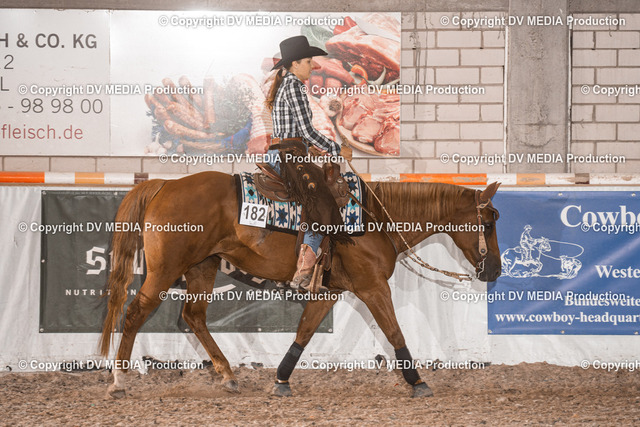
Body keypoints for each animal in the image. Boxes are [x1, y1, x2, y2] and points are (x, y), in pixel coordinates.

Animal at [99, 171, 501, 398]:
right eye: (489, 221)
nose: (495, 270)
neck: (373, 219)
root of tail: (164, 185)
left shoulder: (331, 291)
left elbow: (305, 332)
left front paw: (280, 380)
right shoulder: (373, 287)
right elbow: (394, 332)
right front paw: (417, 382)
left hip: (202, 267)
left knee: (193, 316)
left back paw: (228, 376)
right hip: (166, 269)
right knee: (134, 314)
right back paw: (118, 382)